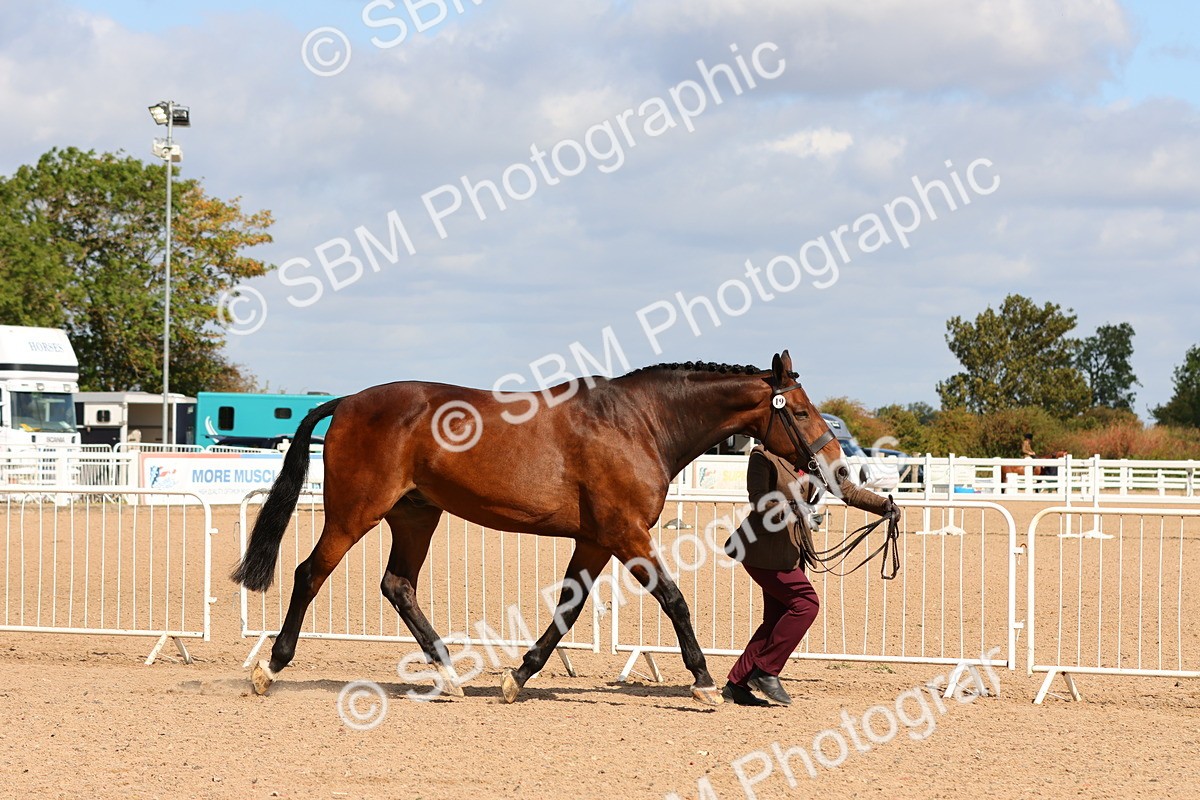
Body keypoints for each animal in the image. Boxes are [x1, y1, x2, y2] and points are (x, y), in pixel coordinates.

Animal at [232, 350, 899, 705]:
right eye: (804, 411)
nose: (842, 468)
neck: (639, 423)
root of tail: (345, 402)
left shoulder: (596, 540)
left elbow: (568, 611)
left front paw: (517, 676)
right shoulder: (628, 536)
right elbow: (674, 600)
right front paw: (704, 682)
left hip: (417, 514)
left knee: (398, 585)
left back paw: (449, 677)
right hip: (355, 512)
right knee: (310, 573)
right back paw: (271, 668)